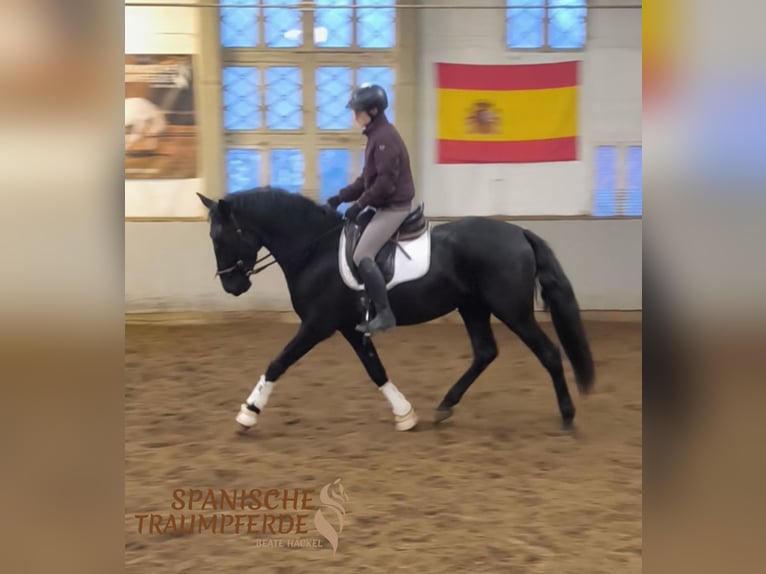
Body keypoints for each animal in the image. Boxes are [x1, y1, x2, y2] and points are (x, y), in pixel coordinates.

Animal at [197, 187, 595, 432]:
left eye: (221, 237)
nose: (232, 286)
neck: (314, 250)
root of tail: (519, 233)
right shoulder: (349, 327)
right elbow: (376, 370)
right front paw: (405, 414)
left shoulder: (317, 325)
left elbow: (278, 362)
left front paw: (248, 414)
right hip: (473, 307)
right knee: (485, 352)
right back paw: (445, 406)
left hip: (512, 310)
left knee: (548, 352)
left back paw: (567, 415)